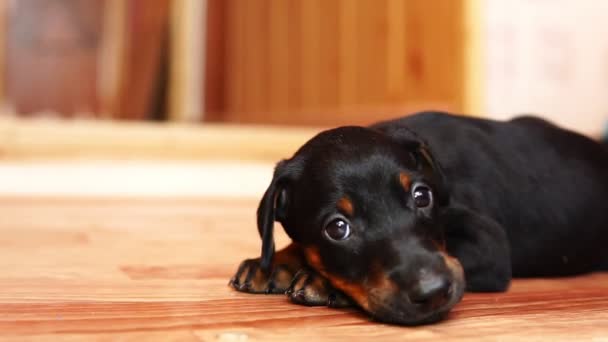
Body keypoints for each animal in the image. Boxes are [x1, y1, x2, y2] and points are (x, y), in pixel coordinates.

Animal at [229, 112, 608, 326]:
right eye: (337, 228)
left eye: (421, 196)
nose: (434, 292)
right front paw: (274, 263)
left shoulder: (490, 244)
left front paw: (321, 281)